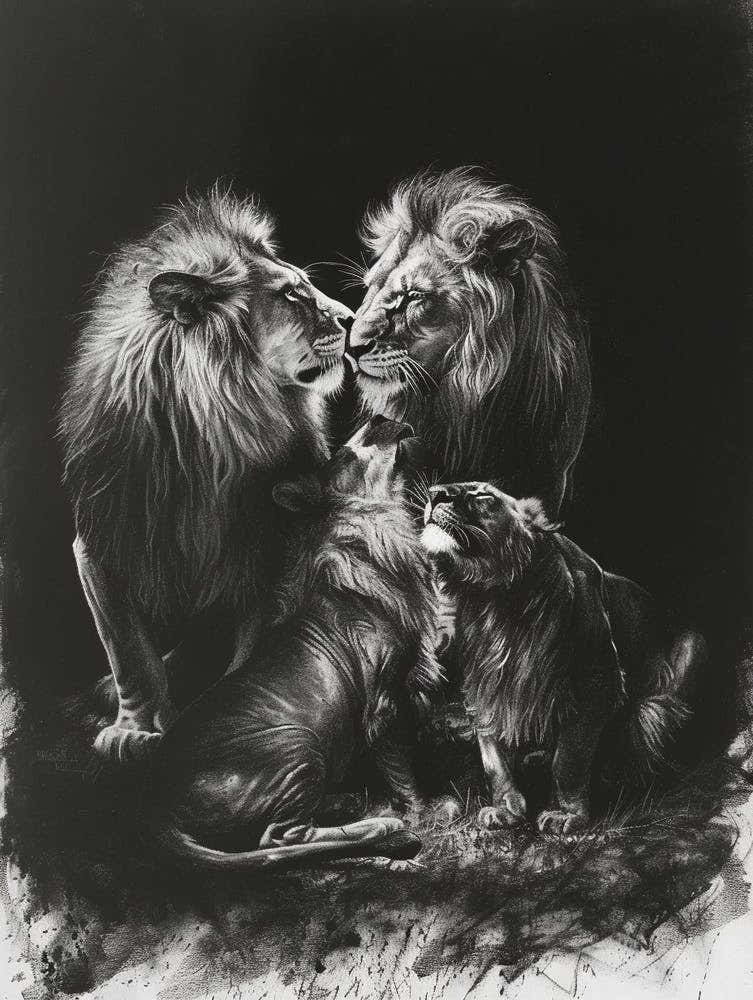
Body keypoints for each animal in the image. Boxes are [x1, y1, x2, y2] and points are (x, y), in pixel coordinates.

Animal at [60, 188, 352, 762]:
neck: (209, 442)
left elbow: (251, 650)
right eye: (293, 296)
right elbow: (130, 651)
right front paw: (136, 728)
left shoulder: (270, 544)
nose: (353, 318)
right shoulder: (100, 538)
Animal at [144, 417, 449, 869]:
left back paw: (345, 803)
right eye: (344, 456)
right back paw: (383, 827)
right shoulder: (385, 696)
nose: (378, 418)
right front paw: (421, 811)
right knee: (280, 841)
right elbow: (399, 766)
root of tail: (156, 806)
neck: (382, 526)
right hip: (297, 747)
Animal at [421, 481, 708, 835]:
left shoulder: (597, 681)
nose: (434, 493)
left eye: (484, 496)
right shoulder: (485, 686)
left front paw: (566, 813)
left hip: (693, 644)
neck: (496, 600)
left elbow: (569, 759)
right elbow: (494, 760)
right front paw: (505, 809)